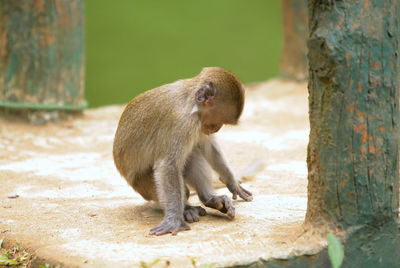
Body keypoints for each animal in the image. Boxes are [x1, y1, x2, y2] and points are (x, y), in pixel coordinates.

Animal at [111, 67, 253, 237]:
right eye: (218, 122)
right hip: (141, 184)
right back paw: (187, 209)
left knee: (193, 155)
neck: (190, 102)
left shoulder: (198, 124)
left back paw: (209, 199)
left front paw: (233, 183)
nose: (216, 129)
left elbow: (207, 147)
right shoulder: (182, 123)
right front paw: (173, 220)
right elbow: (169, 166)